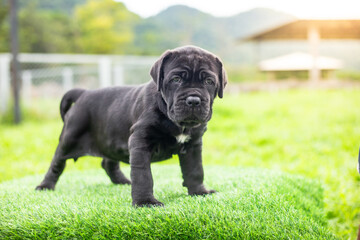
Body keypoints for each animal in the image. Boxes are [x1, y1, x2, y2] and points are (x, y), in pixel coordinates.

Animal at [36, 45, 228, 206]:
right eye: (176, 79)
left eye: (209, 82)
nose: (193, 100)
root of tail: (84, 92)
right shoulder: (140, 140)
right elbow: (143, 174)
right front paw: (145, 202)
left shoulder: (193, 144)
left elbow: (195, 169)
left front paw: (199, 192)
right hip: (70, 137)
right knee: (57, 162)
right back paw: (45, 186)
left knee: (108, 162)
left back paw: (122, 182)